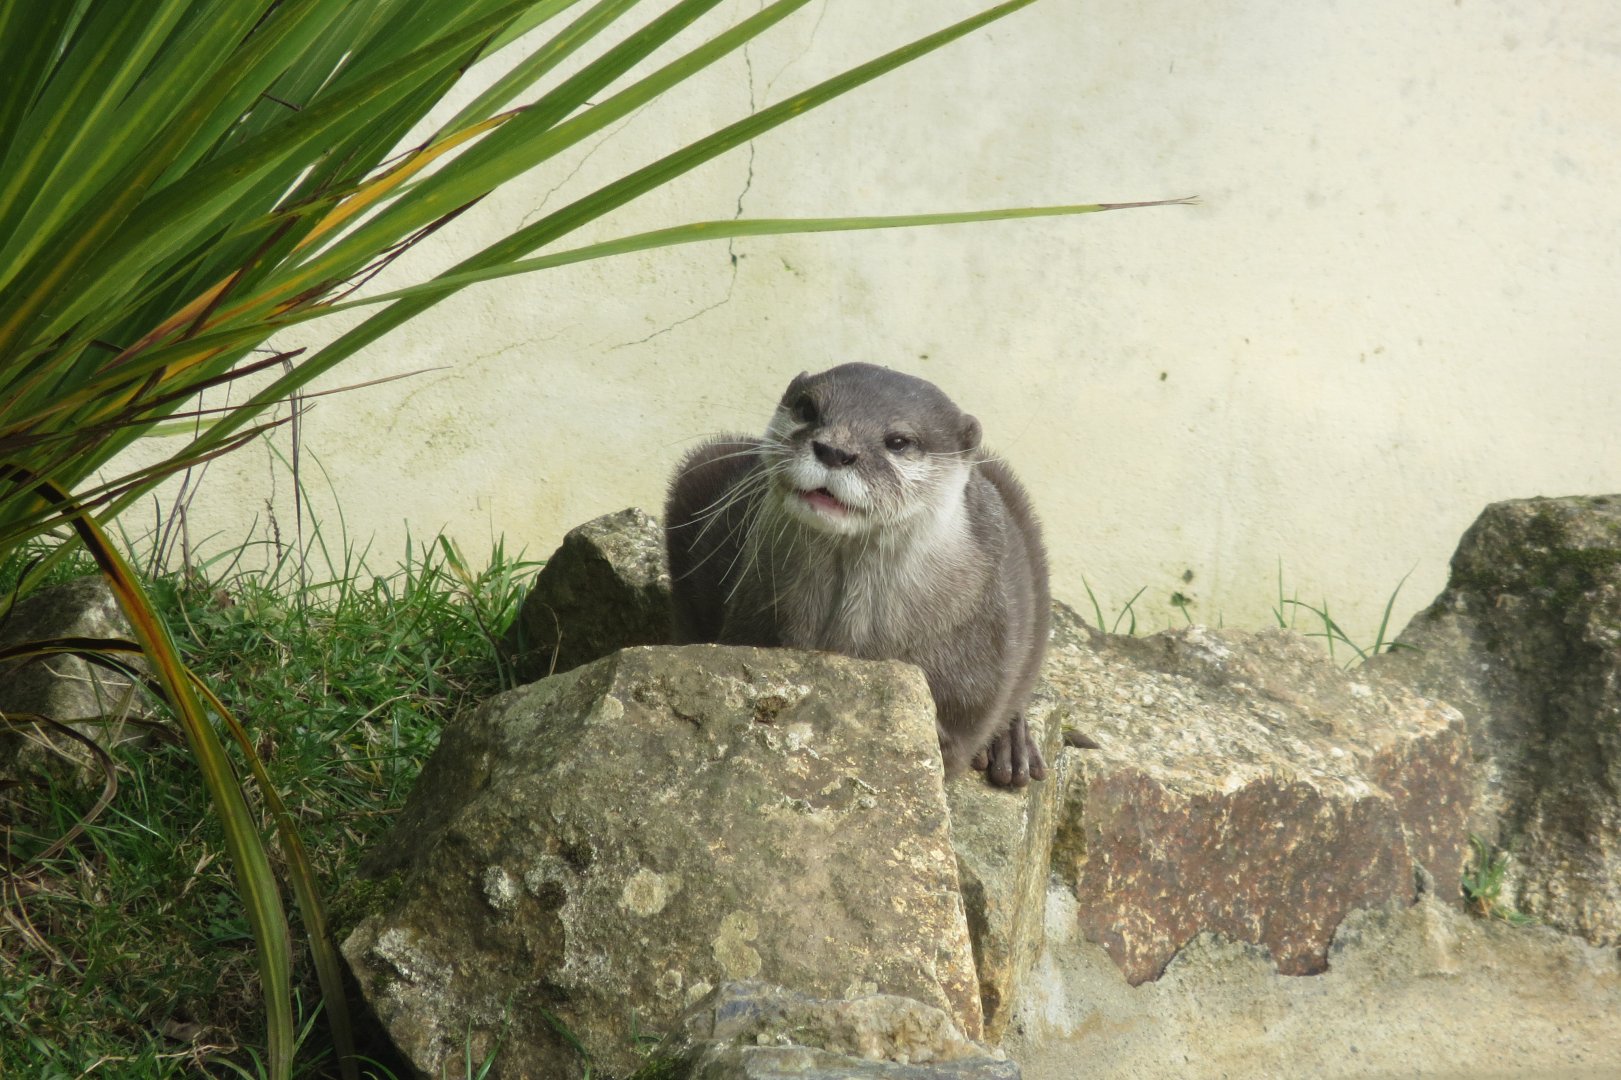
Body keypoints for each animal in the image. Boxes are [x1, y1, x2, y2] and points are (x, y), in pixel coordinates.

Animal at [663, 363, 1050, 787]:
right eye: (807, 408)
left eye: (898, 441)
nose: (835, 450)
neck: (851, 639)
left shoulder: (973, 671)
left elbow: (954, 747)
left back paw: (1012, 749)